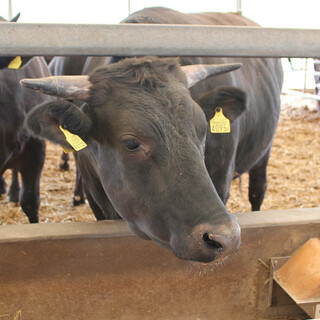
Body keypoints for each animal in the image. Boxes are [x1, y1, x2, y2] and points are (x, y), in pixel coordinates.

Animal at [21, 7, 282, 262]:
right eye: (131, 143)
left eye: (203, 130)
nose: (225, 237)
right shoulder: (95, 197)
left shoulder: (221, 179)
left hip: (264, 150)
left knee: (258, 190)